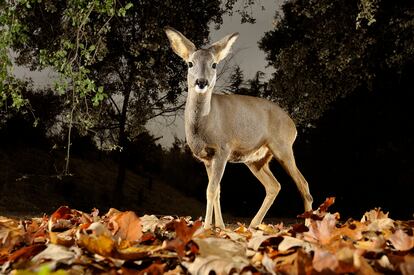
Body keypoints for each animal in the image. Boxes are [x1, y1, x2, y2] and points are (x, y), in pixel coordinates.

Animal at [165, 27, 314, 230]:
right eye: (190, 63)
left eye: (214, 64)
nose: (201, 82)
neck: (204, 124)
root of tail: (293, 126)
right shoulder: (207, 158)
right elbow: (217, 190)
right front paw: (219, 227)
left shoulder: (223, 149)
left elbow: (211, 190)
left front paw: (206, 228)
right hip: (256, 160)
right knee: (274, 186)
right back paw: (253, 224)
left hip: (282, 146)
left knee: (303, 184)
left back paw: (308, 226)